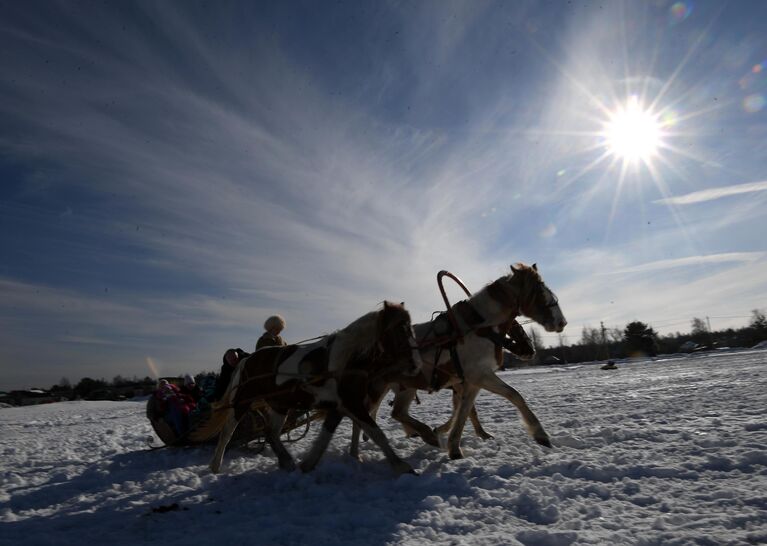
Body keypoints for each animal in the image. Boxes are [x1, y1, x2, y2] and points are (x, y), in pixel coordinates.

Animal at [195, 300, 424, 474]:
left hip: (280, 405)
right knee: (228, 431)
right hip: (243, 400)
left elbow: (325, 437)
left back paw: (287, 462)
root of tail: (247, 359)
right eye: (399, 329)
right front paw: (401, 466)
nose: (417, 365)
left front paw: (308, 464)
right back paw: (215, 466)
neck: (345, 360)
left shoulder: (340, 406)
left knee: (271, 433)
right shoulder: (352, 404)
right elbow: (377, 433)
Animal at [352, 264, 568, 460]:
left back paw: (424, 435)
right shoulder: (479, 375)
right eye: (539, 291)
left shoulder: (472, 380)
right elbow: (509, 396)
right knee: (363, 417)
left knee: (396, 413)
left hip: (405, 387)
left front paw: (455, 445)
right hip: (378, 388)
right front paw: (540, 434)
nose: (562, 322)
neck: (479, 327)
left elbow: (466, 410)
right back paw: (356, 455)